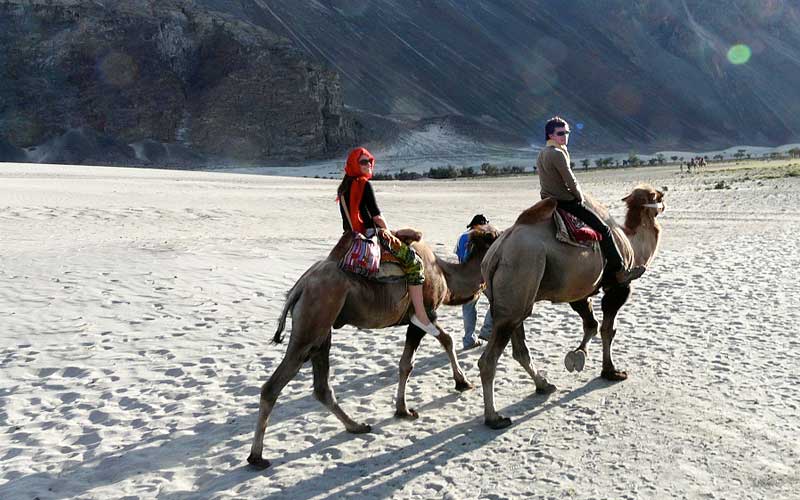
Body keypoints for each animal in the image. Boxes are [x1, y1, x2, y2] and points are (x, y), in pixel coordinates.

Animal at [247, 225, 500, 468]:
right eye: (495, 234)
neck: (445, 275)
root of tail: (299, 287)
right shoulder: (423, 314)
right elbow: (441, 343)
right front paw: (461, 383)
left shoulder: (415, 320)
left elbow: (408, 362)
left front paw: (402, 409)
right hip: (312, 324)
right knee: (273, 386)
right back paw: (257, 457)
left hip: (322, 331)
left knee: (321, 386)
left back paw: (356, 426)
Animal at [478, 185, 665, 429]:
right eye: (657, 196)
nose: (664, 193)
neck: (632, 242)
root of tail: (495, 256)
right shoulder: (618, 286)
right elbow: (607, 330)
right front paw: (611, 371)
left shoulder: (579, 291)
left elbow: (591, 324)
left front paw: (577, 355)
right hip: (519, 278)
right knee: (489, 360)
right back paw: (495, 418)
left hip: (513, 302)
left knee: (520, 349)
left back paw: (544, 385)